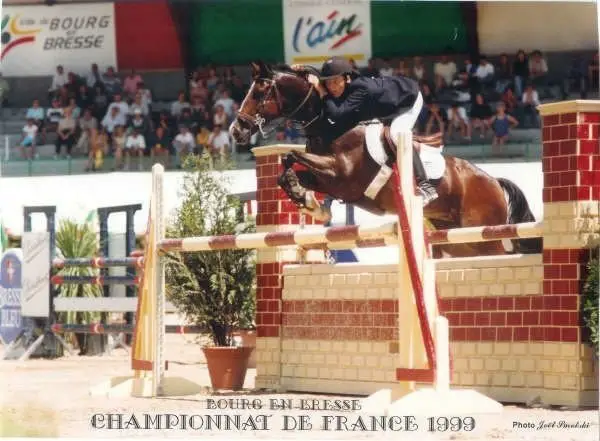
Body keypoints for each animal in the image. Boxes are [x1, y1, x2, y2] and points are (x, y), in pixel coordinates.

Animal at [229, 60, 540, 256]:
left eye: (259, 92)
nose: (236, 130)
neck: (329, 122)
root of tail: (494, 181)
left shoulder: (343, 176)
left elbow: (291, 155)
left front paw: (308, 201)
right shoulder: (330, 179)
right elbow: (290, 168)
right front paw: (309, 202)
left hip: (483, 235)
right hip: (457, 240)